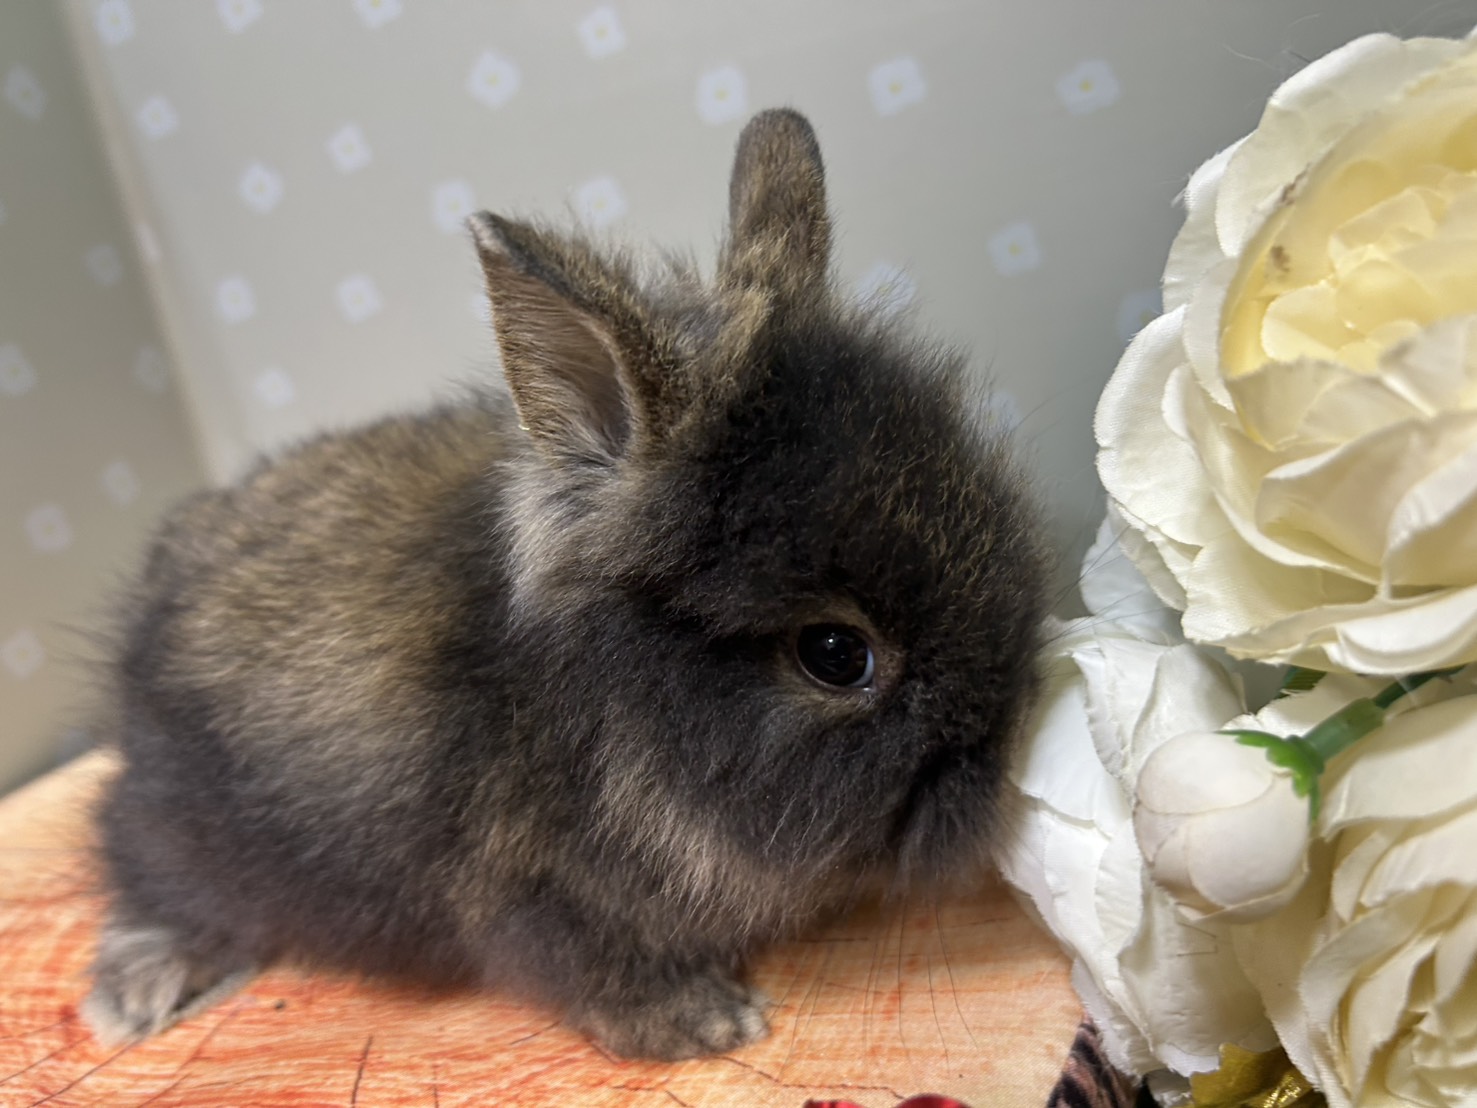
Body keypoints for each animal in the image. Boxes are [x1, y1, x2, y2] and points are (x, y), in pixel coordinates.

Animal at [82, 108, 1049, 1061]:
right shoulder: (530, 894)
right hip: (189, 826)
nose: (999, 753)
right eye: (836, 654)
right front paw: (707, 1022)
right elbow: (587, 969)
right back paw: (137, 990)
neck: (616, 723)